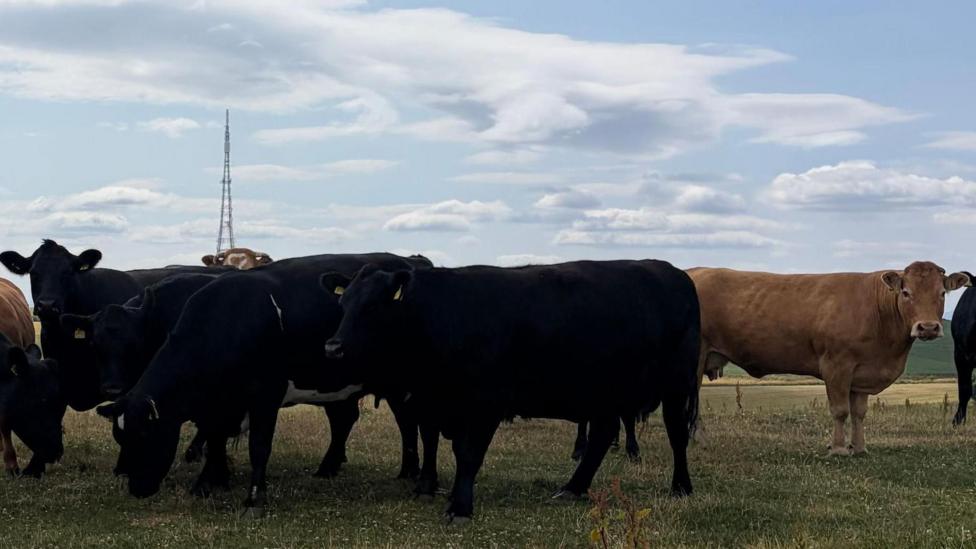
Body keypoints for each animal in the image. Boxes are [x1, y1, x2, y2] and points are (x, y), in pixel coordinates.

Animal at [95, 253, 435, 516]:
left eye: (146, 435)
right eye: (120, 437)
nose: (135, 488)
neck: (234, 317)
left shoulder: (266, 396)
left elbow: (258, 447)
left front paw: (254, 500)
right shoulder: (219, 403)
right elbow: (215, 437)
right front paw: (207, 482)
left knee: (415, 425)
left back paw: (417, 477)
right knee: (371, 420)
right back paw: (348, 468)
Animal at [321, 259, 701, 522]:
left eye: (373, 306)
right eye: (343, 305)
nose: (333, 347)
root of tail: (672, 271)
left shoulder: (487, 401)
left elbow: (468, 453)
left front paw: (460, 507)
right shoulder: (432, 403)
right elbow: (436, 444)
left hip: (676, 385)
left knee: (676, 434)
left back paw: (681, 487)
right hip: (603, 392)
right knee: (601, 436)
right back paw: (572, 488)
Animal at [688, 262, 969, 456]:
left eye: (942, 293)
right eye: (906, 292)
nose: (928, 327)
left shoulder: (862, 372)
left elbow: (859, 412)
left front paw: (860, 447)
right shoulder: (837, 365)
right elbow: (840, 410)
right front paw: (838, 449)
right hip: (696, 355)